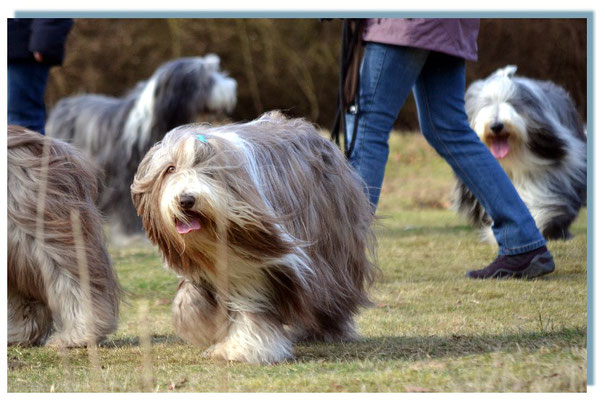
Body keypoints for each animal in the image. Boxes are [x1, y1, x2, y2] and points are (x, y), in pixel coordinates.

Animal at [132, 111, 378, 364]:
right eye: (170, 169)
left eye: (210, 170)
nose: (186, 200)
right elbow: (190, 301)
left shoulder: (257, 263)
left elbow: (250, 304)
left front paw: (244, 348)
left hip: (331, 242)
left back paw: (327, 329)